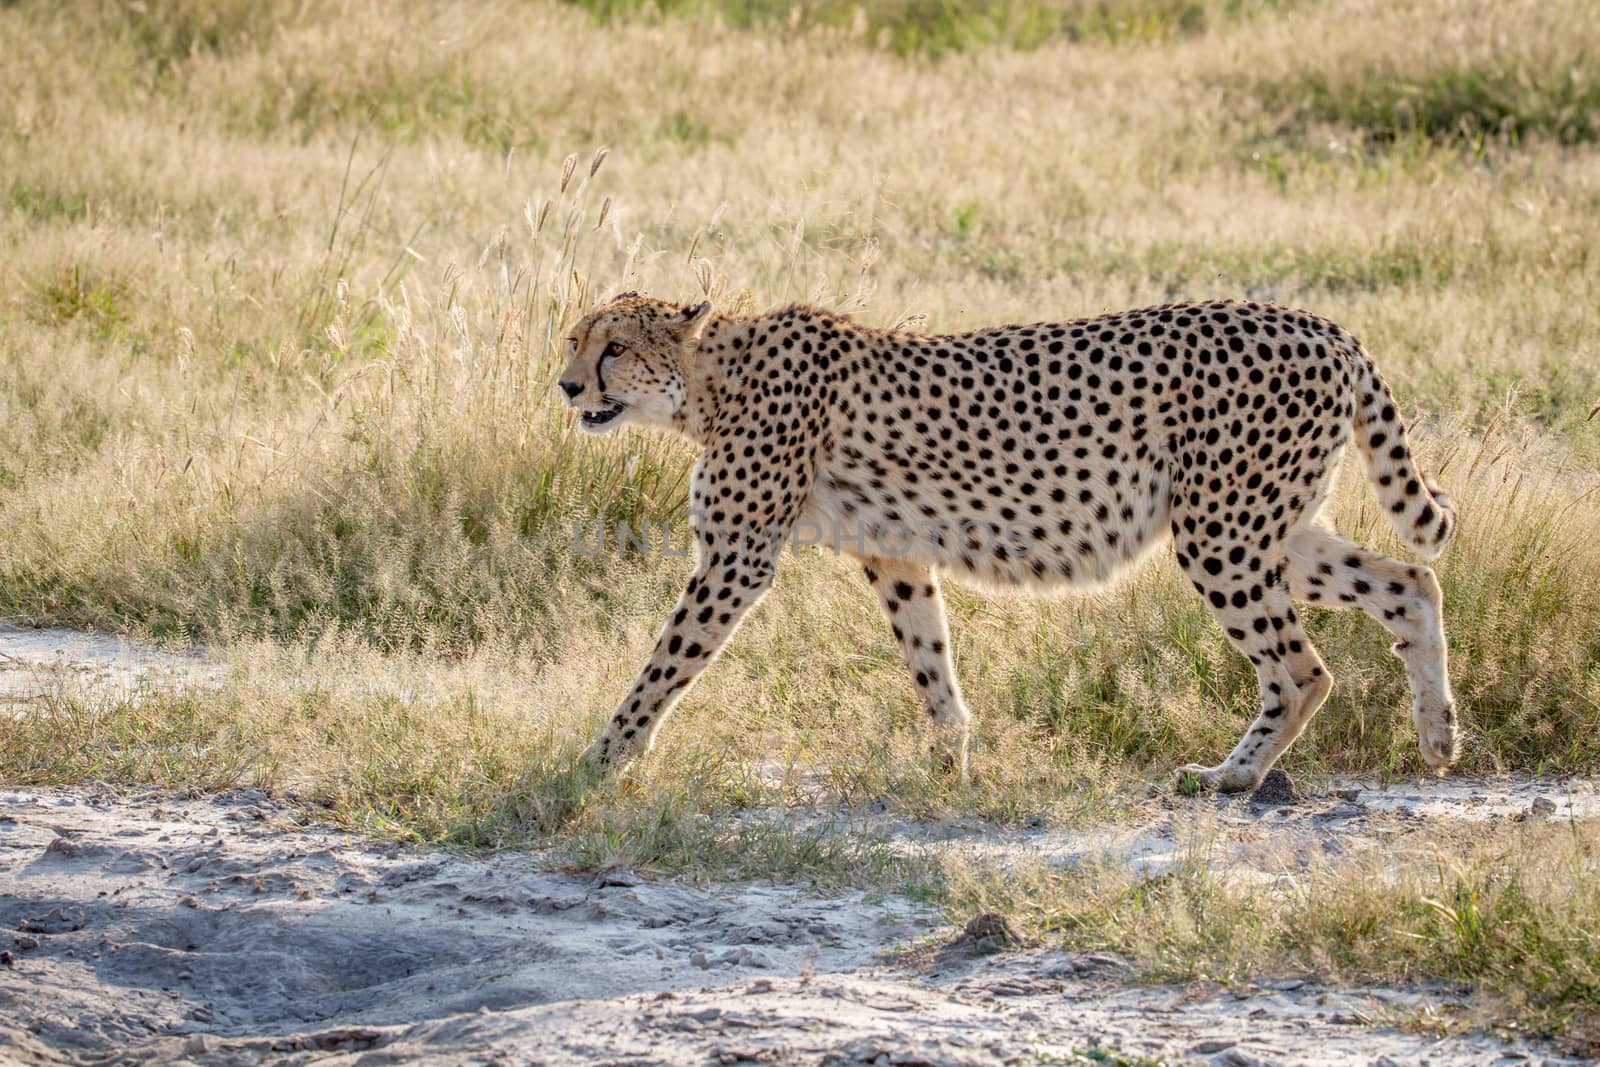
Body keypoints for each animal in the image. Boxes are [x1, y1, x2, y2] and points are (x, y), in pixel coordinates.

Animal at [556, 292, 1459, 793]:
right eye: (574, 341)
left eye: (615, 347)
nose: (565, 386)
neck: (710, 381)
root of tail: (1322, 325)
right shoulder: (895, 553)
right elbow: (931, 661)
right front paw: (952, 762)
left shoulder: (736, 557)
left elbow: (661, 668)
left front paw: (598, 760)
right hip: (1266, 524)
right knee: (1411, 582)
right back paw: (1438, 735)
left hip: (1220, 532)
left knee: (1304, 668)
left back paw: (1232, 775)